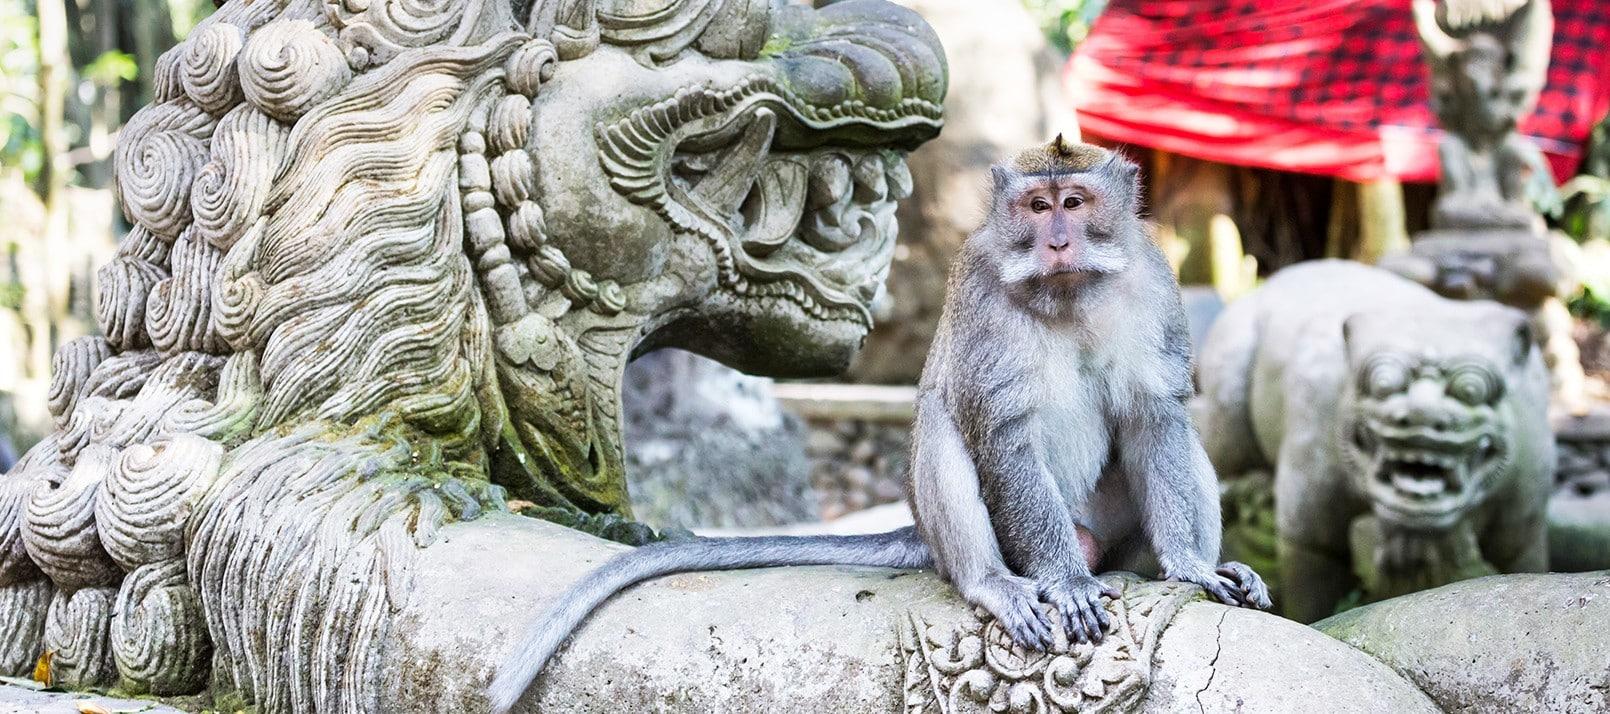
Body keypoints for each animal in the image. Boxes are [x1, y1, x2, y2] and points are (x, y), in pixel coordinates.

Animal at [483, 136, 1262, 712]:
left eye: (1075, 202)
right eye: (1037, 206)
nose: (1058, 241)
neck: (1067, 294)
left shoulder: (1153, 285)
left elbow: (1155, 418)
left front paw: (1190, 566)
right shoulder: (982, 291)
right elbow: (1001, 433)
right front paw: (1066, 584)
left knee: (1180, 440)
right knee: (945, 426)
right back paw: (995, 581)